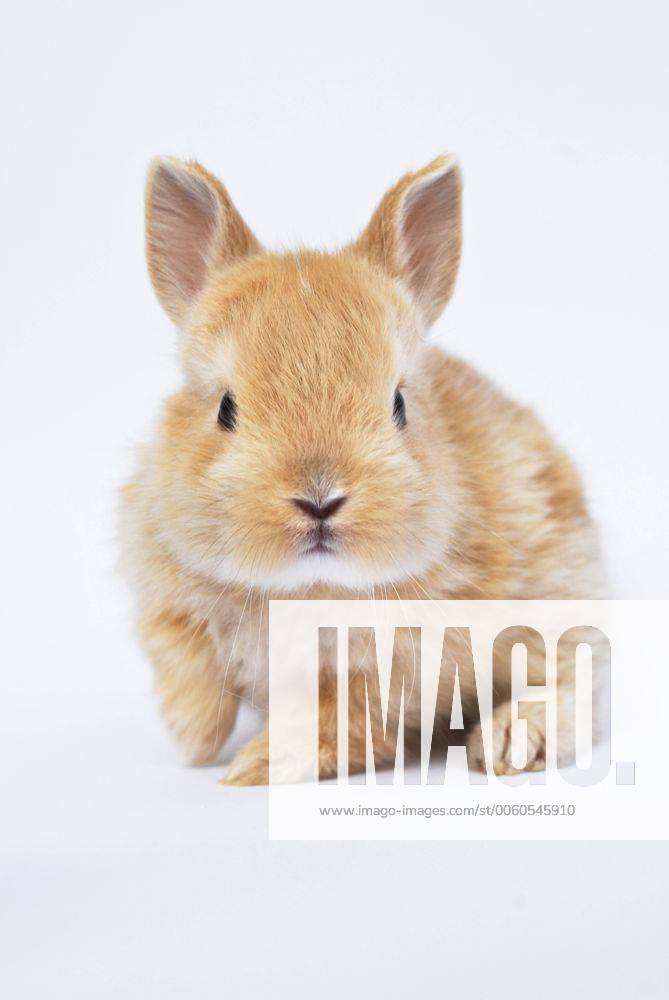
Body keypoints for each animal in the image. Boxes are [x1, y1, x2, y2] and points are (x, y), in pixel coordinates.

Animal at [119, 154, 606, 785]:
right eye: (225, 407)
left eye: (399, 404)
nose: (319, 499)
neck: (307, 588)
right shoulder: (171, 611)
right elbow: (194, 682)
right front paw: (195, 744)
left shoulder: (385, 671)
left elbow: (336, 724)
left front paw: (256, 765)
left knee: (572, 681)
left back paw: (510, 740)